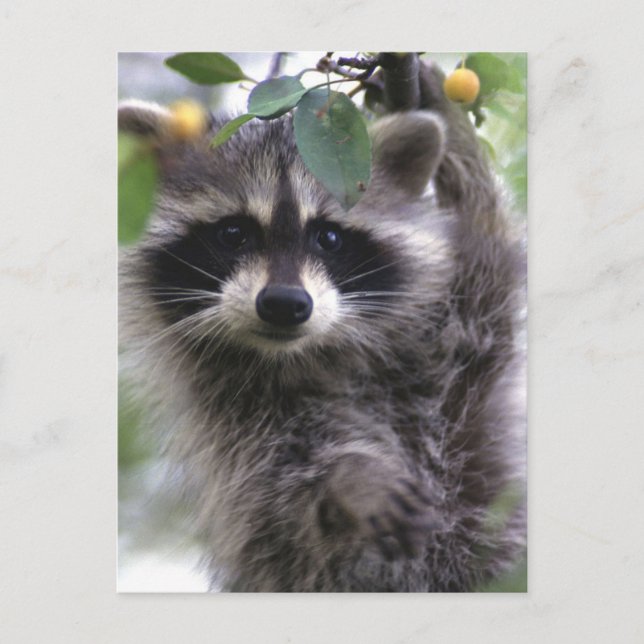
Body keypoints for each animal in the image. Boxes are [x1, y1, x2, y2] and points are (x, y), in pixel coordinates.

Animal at [119, 62, 526, 592]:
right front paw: (347, 472)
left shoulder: (459, 372)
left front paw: (454, 129)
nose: (284, 304)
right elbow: (283, 496)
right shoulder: (232, 427)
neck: (309, 356)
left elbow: (489, 264)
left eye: (328, 237)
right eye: (233, 233)